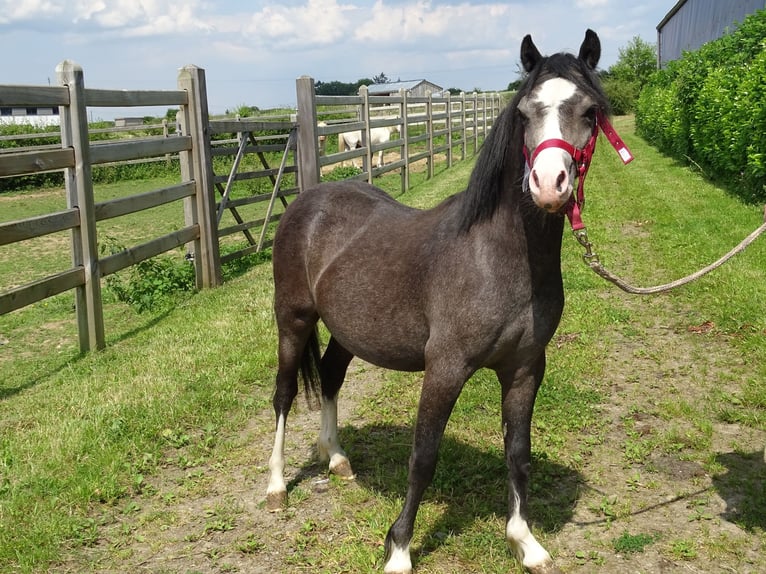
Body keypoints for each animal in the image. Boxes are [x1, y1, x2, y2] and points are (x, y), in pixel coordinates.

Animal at [270, 31, 612, 574]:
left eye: (589, 110)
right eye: (523, 112)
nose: (548, 184)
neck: (496, 256)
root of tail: (307, 201)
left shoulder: (525, 368)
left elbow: (518, 451)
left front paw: (525, 541)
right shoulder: (446, 368)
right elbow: (423, 457)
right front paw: (399, 550)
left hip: (348, 330)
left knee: (329, 376)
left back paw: (337, 458)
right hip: (294, 320)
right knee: (283, 394)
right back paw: (277, 485)